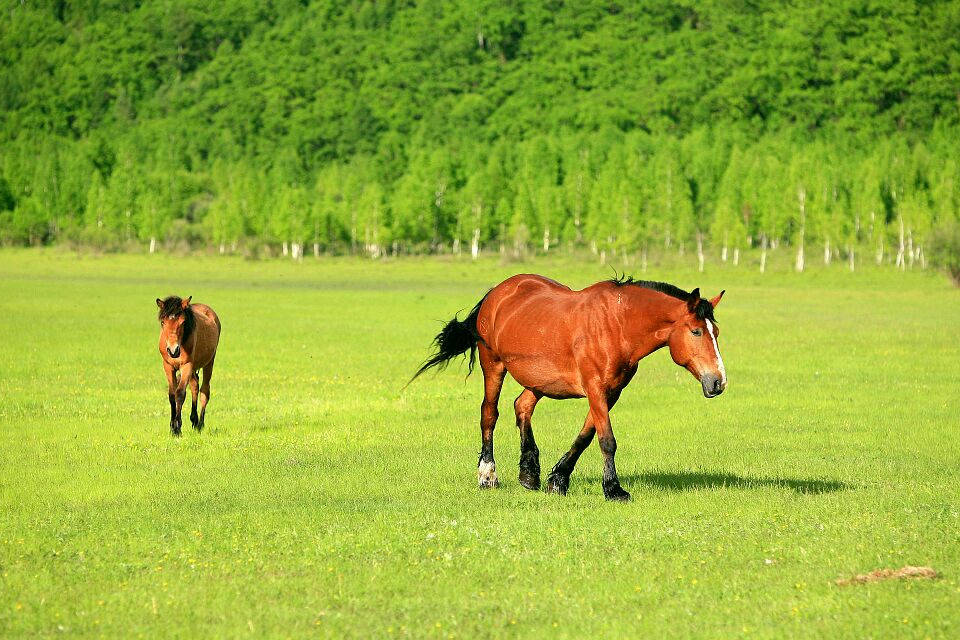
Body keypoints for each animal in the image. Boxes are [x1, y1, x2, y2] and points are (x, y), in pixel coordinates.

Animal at [157, 296, 222, 436]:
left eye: (182, 322)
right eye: (163, 322)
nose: (173, 350)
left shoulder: (186, 366)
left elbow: (180, 393)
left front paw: (177, 429)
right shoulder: (168, 366)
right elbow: (172, 394)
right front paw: (172, 427)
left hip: (209, 362)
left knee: (204, 391)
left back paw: (200, 424)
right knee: (195, 386)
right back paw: (194, 420)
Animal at [412, 274, 728, 500]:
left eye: (716, 331)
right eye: (696, 331)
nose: (718, 381)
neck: (616, 324)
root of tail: (496, 292)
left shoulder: (610, 391)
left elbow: (586, 437)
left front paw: (557, 480)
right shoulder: (595, 388)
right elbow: (606, 440)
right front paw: (613, 489)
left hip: (538, 379)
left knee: (522, 406)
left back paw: (529, 474)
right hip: (493, 366)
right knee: (489, 414)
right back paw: (488, 475)